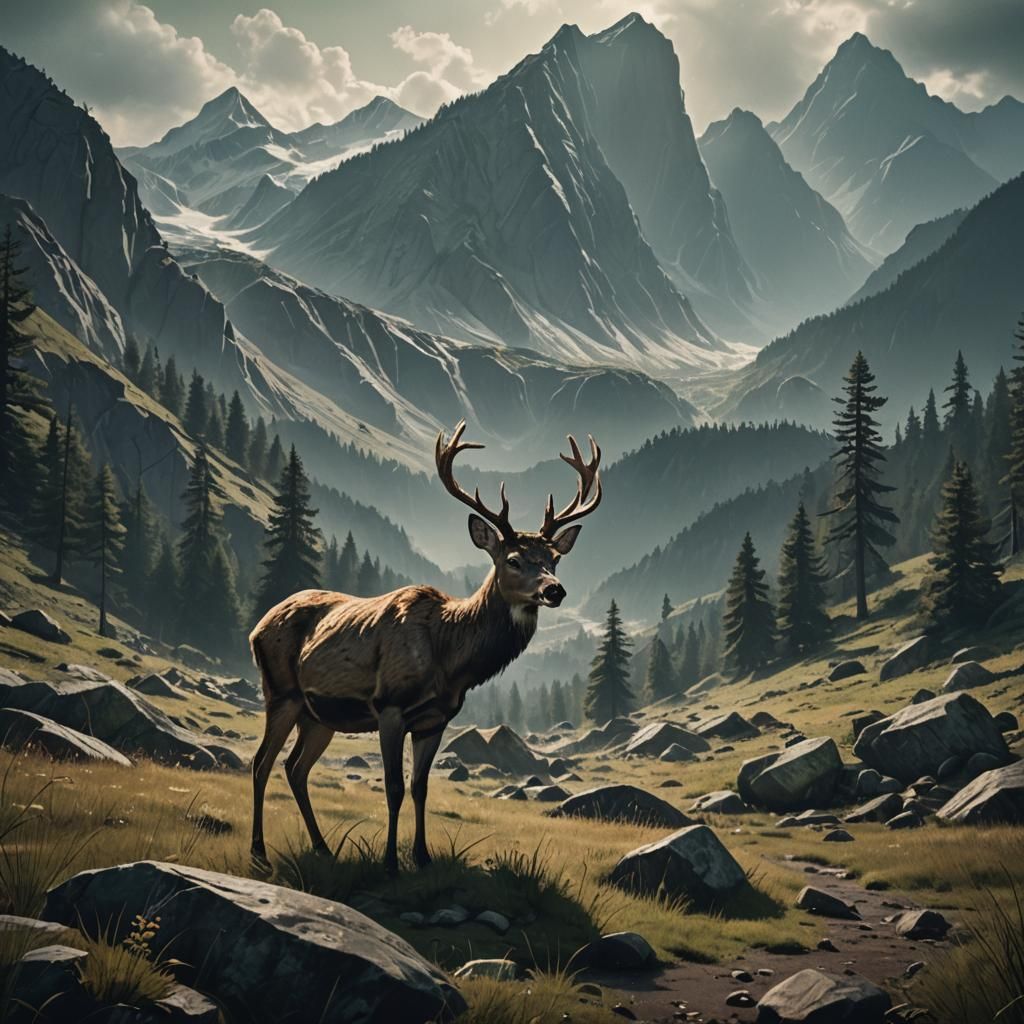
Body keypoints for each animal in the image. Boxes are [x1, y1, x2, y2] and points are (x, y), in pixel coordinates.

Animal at [248, 421, 602, 874]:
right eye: (513, 560)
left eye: (554, 558)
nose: (554, 590)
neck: (448, 657)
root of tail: (257, 627)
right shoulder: (389, 706)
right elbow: (394, 787)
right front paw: (389, 862)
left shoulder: (435, 719)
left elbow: (421, 788)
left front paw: (422, 856)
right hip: (281, 691)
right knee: (262, 762)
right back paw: (259, 851)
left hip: (319, 714)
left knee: (295, 768)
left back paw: (323, 848)